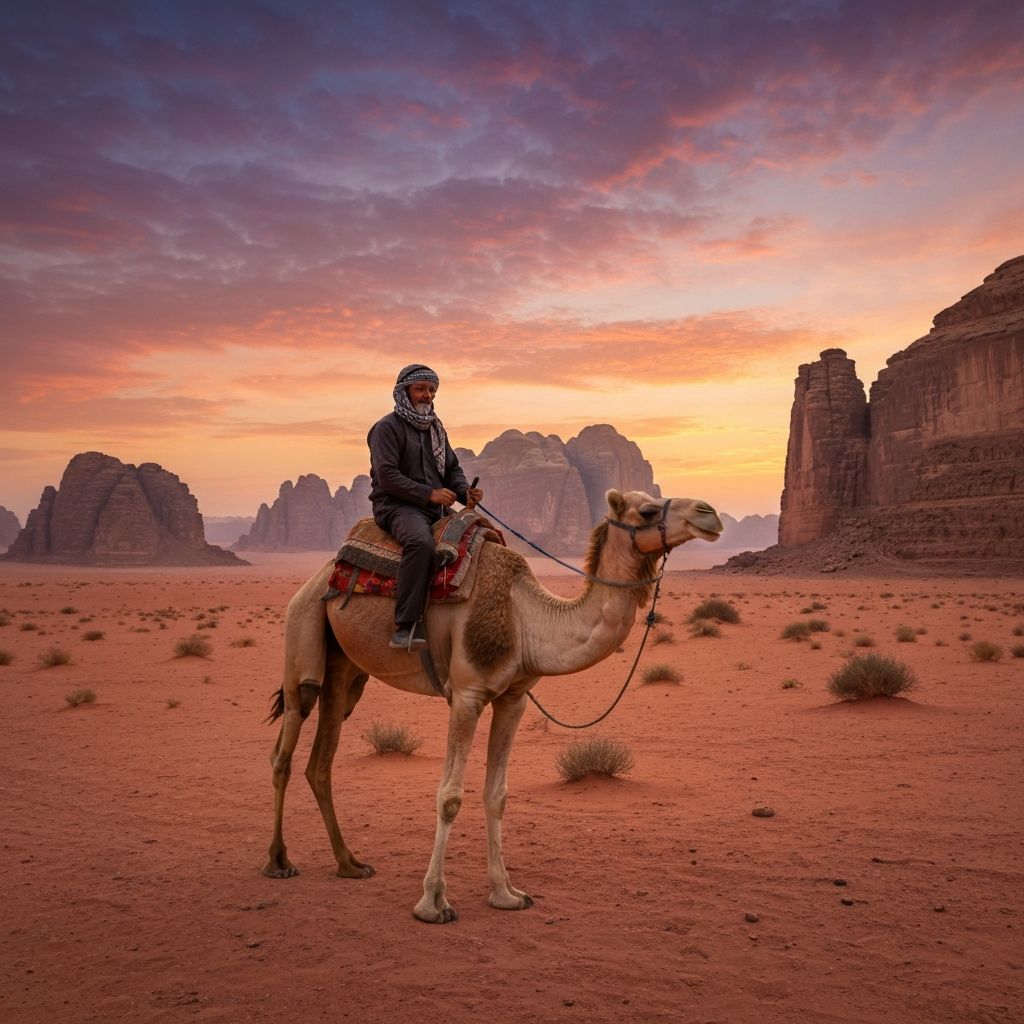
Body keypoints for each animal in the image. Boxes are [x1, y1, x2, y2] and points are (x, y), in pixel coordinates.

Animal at [263, 488, 722, 922]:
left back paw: (350, 864)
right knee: (286, 747)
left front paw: (506, 893)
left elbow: (496, 794)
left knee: (321, 760)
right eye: (646, 511)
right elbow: (450, 796)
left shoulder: (513, 699)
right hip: (303, 633)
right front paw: (433, 902)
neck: (525, 619)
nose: (709, 513)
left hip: (347, 672)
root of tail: (317, 577)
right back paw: (278, 861)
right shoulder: (466, 695)